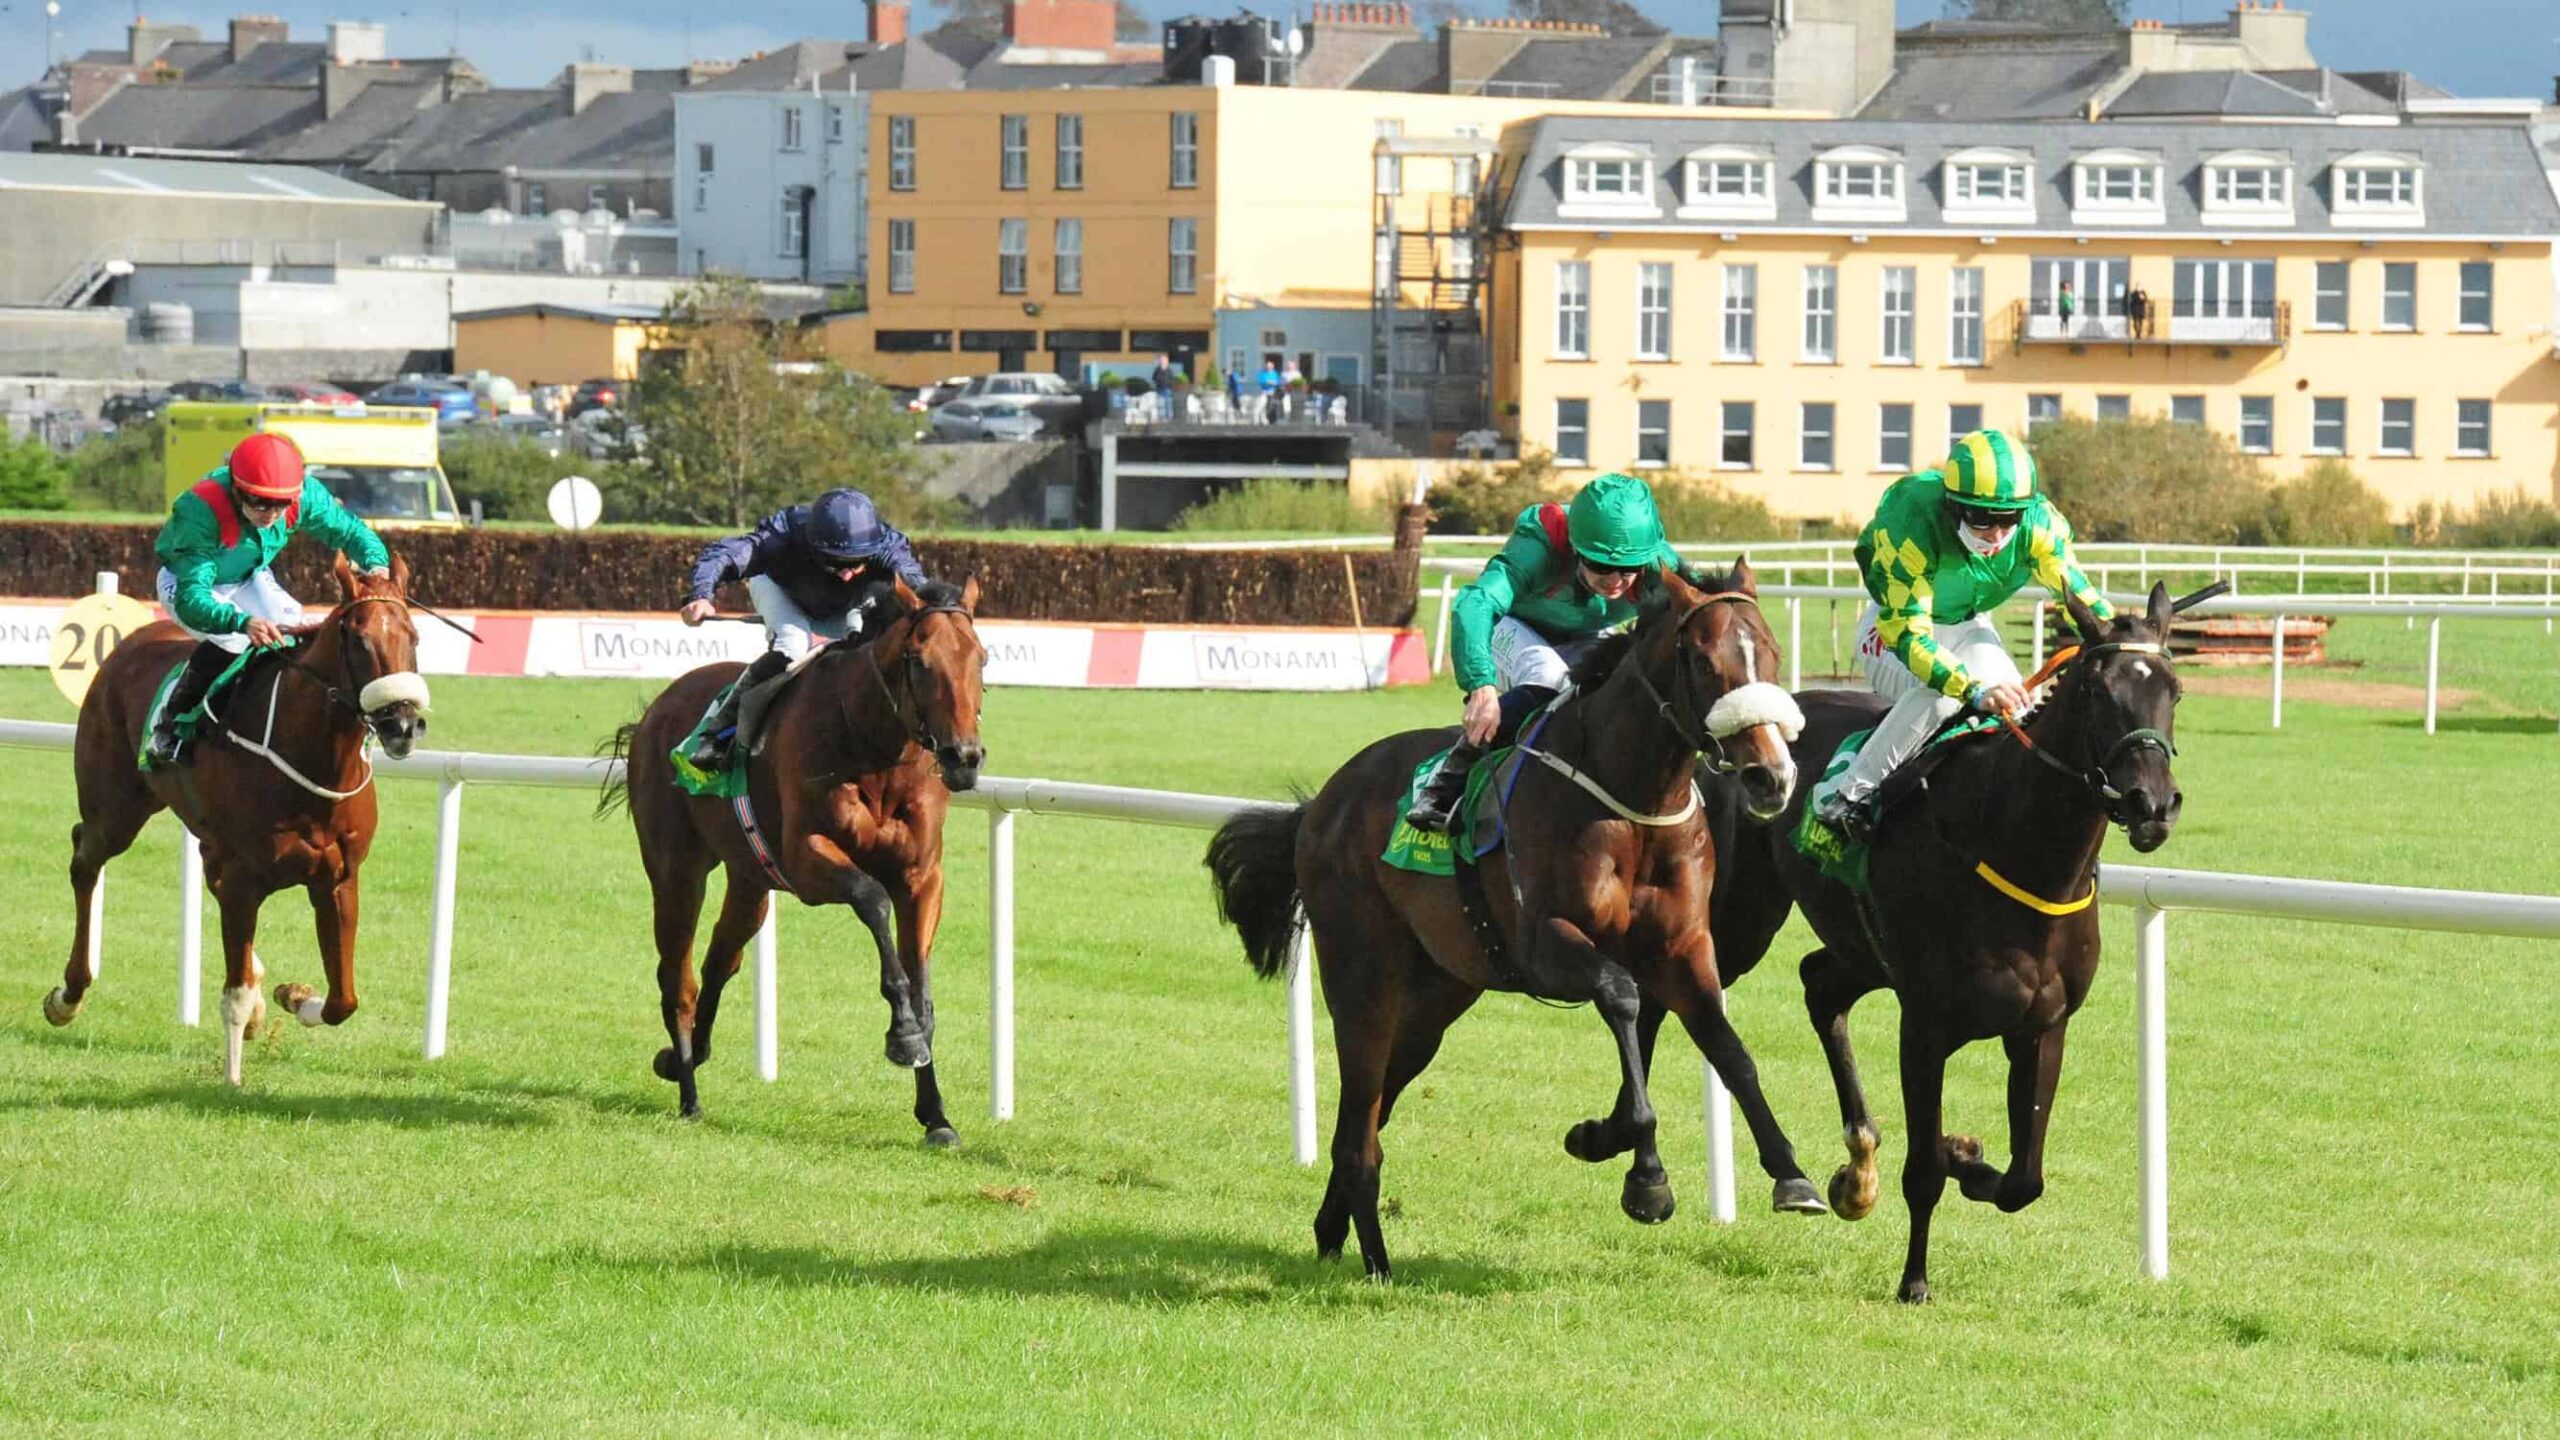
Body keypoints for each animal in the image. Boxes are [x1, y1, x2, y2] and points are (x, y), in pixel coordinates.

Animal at [45, 556, 430, 1081]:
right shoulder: (244, 878)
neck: (311, 759)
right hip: (116, 809)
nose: (402, 724)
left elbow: (342, 1000)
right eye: (358, 639)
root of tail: (130, 643)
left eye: (414, 636)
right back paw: (69, 995)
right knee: (85, 859)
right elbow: (236, 995)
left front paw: (294, 995)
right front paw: (232, 1079)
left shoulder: (336, 877)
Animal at [601, 573, 988, 1142]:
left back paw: (686, 1057)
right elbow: (873, 900)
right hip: (676, 869)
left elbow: (922, 986)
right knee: (679, 978)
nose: (964, 757)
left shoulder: (922, 877)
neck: (873, 747)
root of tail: (656, 710)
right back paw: (689, 1095)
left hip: (750, 876)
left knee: (722, 958)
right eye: (920, 661)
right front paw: (903, 1036)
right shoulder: (807, 860)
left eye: (981, 658)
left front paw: (936, 1114)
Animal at [1208, 561, 1832, 1276]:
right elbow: (1621, 997)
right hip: (1363, 977)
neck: (1633, 801)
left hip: (1435, 999)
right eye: (1704, 661)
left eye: (1772, 653)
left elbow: (1731, 1051)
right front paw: (1644, 1176)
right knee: (1360, 1120)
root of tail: (1320, 805)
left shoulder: (1683, 948)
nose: (1771, 777)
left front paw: (1790, 1174)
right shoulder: (1546, 946)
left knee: (1369, 1113)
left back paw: (1332, 1230)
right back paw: (1376, 1260)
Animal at [1566, 584, 2191, 1301]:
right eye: (2096, 689)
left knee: (1817, 983)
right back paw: (1622, 1148)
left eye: (2174, 690)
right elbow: (1923, 1172)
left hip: (1859, 948)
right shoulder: (1923, 1024)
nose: (2152, 804)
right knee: (1666, 1000)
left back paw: (1856, 1166)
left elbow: (2023, 1181)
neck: (2011, 846)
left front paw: (1964, 1156)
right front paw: (1915, 1278)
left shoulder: (2043, 1024)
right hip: (1733, 918)